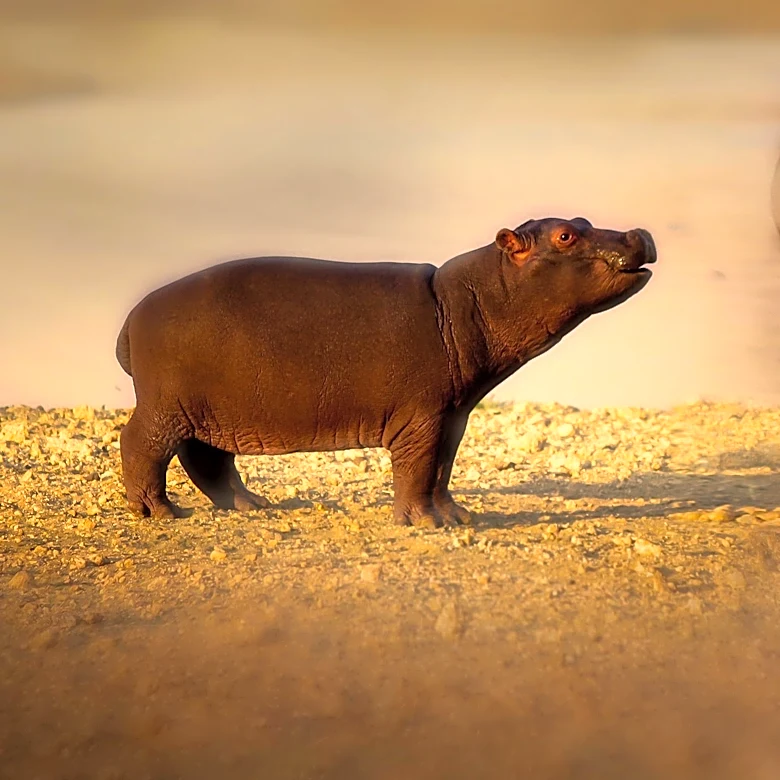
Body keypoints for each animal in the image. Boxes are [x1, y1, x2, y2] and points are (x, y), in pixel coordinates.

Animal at [116, 217, 656, 528]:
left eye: (581, 219)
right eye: (566, 234)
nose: (639, 233)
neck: (468, 299)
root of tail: (130, 320)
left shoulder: (451, 417)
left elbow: (441, 469)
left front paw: (459, 518)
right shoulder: (421, 416)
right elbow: (416, 469)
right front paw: (424, 524)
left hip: (208, 409)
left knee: (208, 459)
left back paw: (253, 506)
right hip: (166, 406)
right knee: (141, 444)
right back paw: (161, 513)